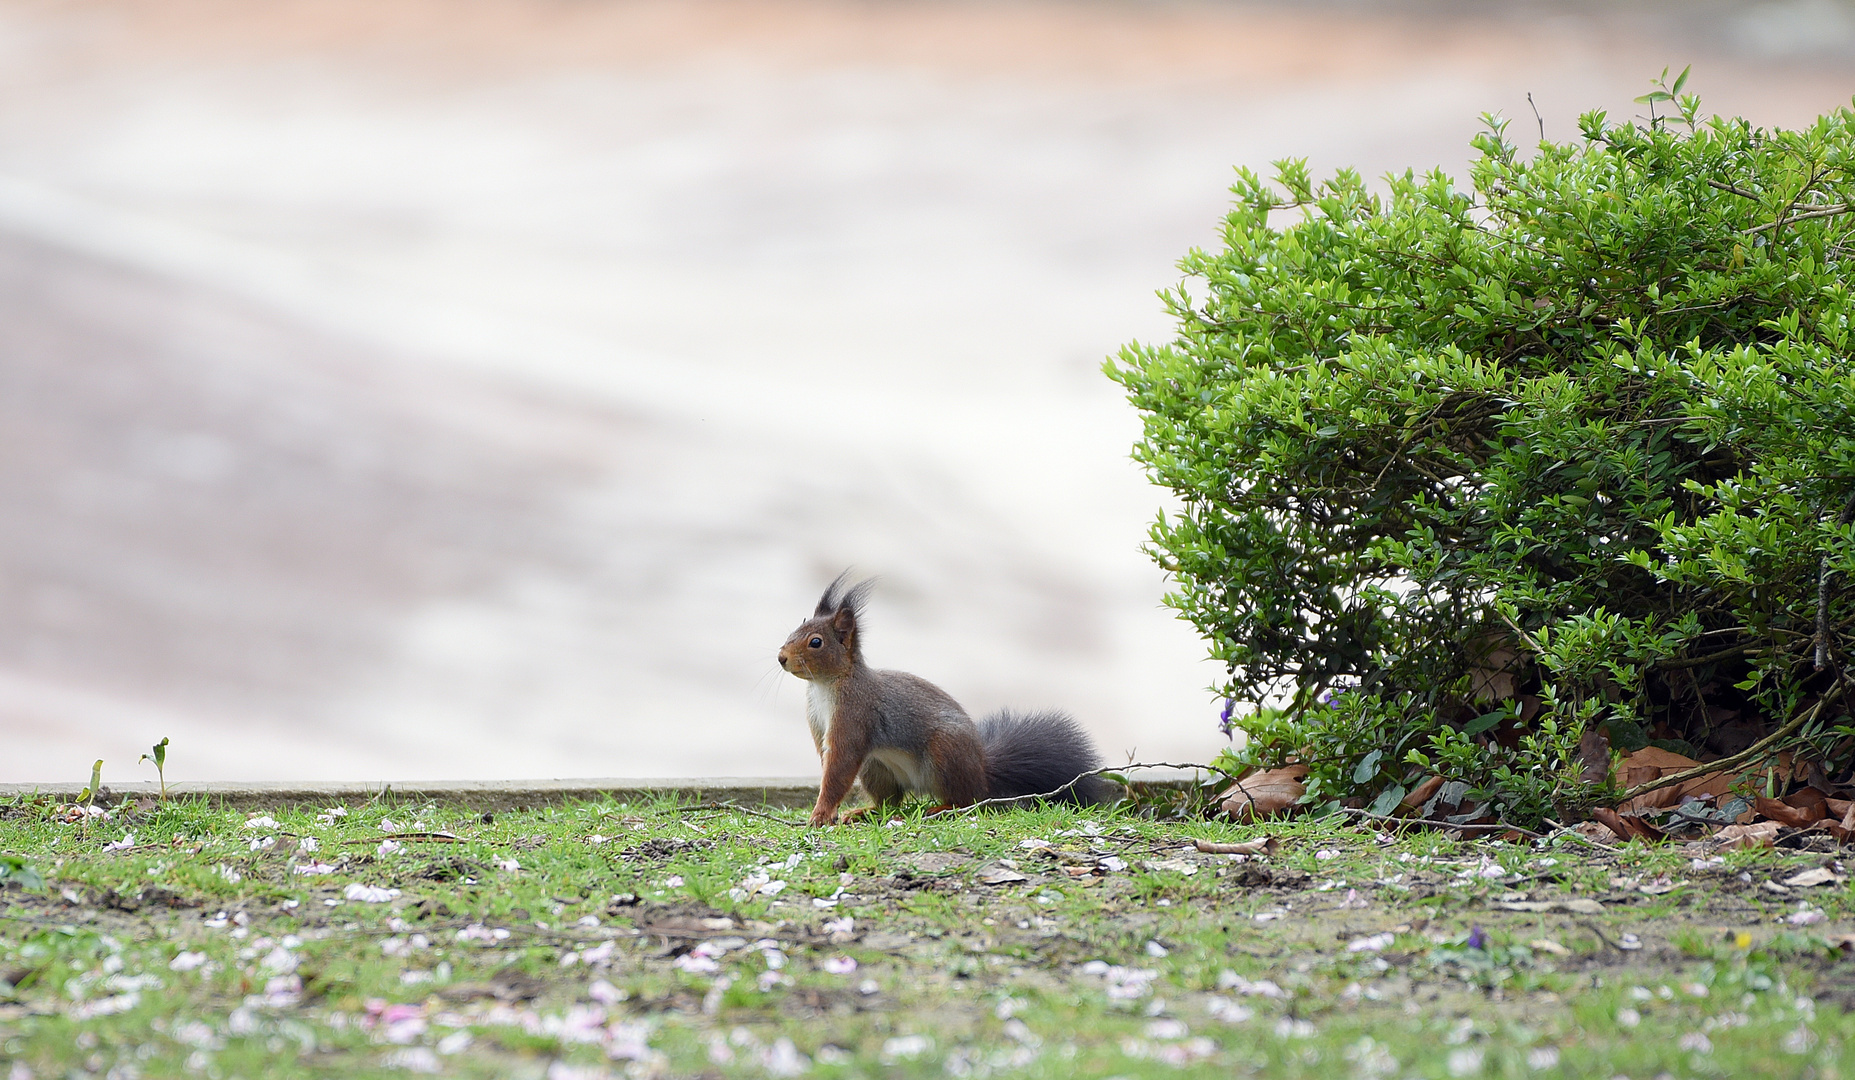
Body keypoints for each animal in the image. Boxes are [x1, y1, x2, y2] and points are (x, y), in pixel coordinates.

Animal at [775, 575, 1105, 831]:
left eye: (815, 642)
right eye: (793, 631)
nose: (781, 657)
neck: (824, 686)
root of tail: (982, 770)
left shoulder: (855, 714)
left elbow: (839, 766)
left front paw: (820, 814)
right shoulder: (818, 722)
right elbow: (828, 763)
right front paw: (829, 811)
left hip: (946, 751)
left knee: (969, 800)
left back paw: (942, 809)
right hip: (876, 765)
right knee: (891, 801)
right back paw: (864, 812)